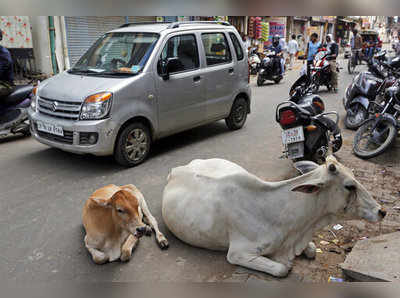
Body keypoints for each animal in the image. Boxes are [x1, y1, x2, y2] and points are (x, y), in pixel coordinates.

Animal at [161, 157, 386, 278]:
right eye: (350, 186)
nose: (382, 211)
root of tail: (177, 169)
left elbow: (312, 250)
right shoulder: (238, 253)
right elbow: (282, 269)